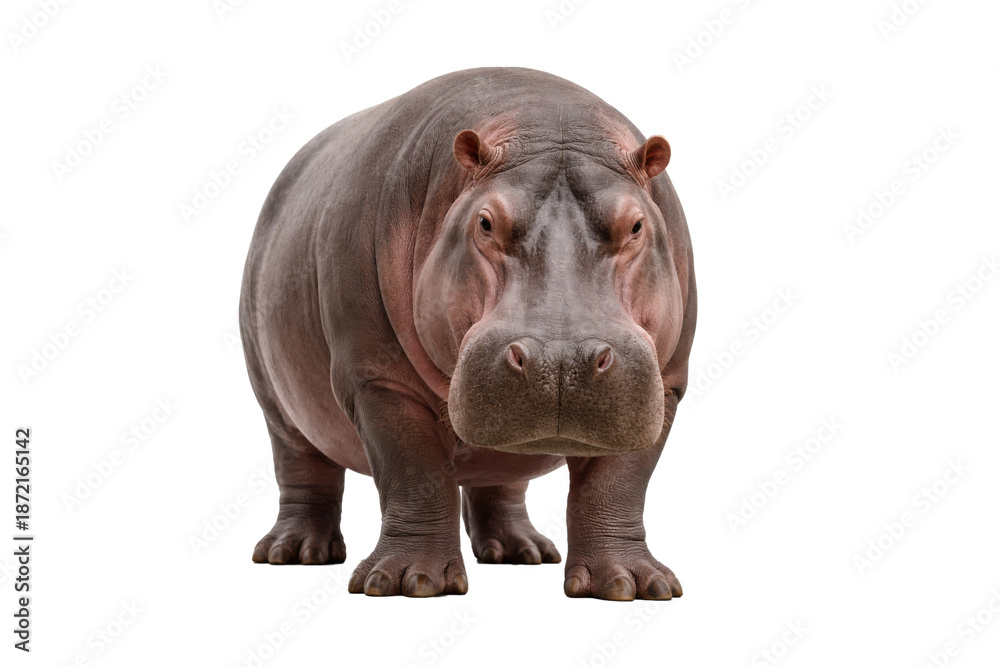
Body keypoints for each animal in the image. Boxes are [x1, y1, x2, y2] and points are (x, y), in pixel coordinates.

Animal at [239, 67, 697, 600]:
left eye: (637, 224)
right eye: (485, 222)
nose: (559, 361)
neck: (550, 122)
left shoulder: (666, 383)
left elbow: (617, 484)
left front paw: (634, 585)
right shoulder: (378, 381)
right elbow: (413, 472)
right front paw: (406, 582)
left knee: (499, 478)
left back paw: (521, 552)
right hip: (275, 402)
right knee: (302, 469)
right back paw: (295, 553)